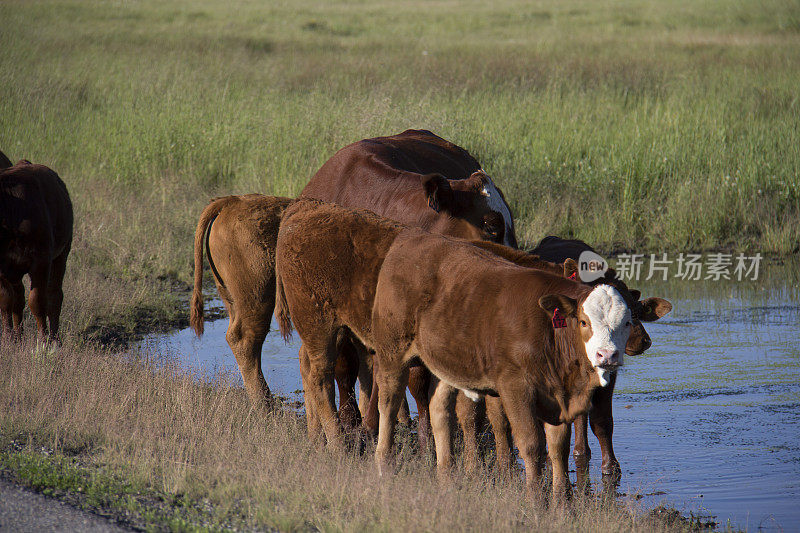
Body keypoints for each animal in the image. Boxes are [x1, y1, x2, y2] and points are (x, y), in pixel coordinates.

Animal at [0, 159, 73, 340]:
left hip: (62, 254)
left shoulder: (41, 261)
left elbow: (37, 301)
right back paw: (18, 336)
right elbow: (6, 301)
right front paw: (8, 338)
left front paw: (43, 339)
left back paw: (55, 338)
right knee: (18, 298)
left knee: (55, 295)